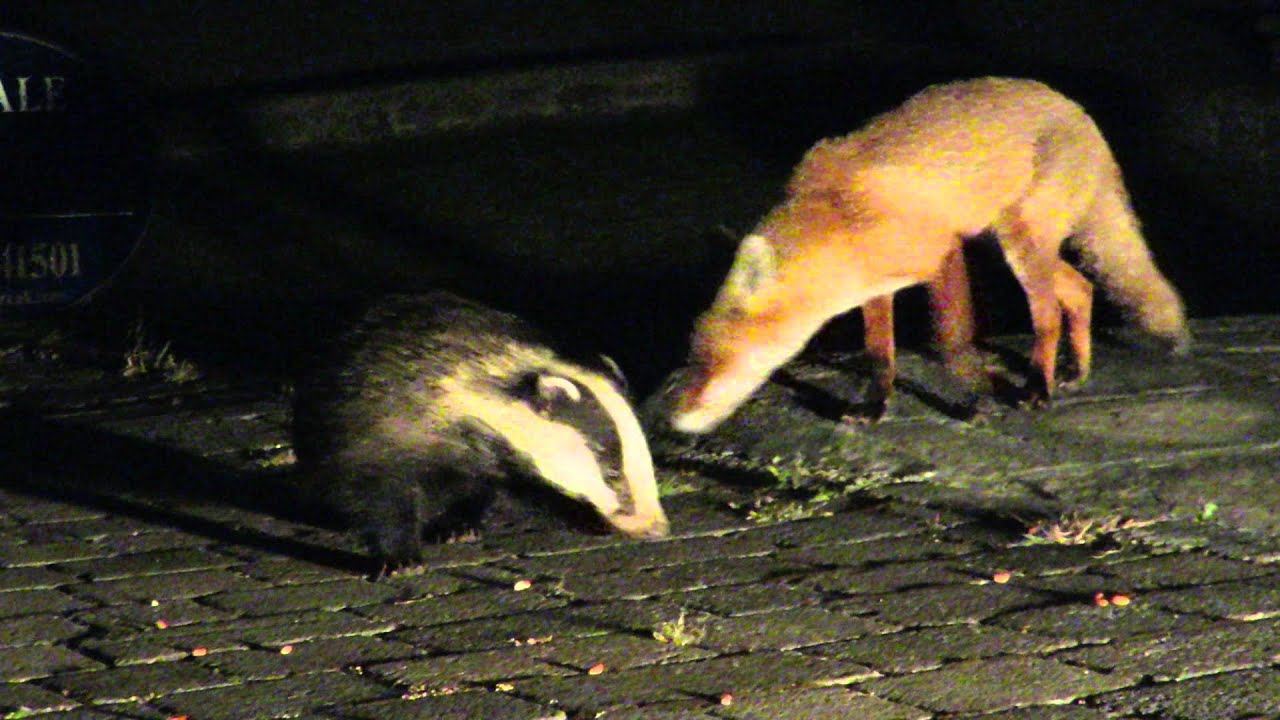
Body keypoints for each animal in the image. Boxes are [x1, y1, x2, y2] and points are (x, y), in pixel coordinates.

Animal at [667, 76, 1190, 434]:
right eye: (691, 358)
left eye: (711, 362)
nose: (673, 420)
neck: (840, 219)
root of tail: (1078, 109)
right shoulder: (875, 286)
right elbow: (880, 353)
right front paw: (875, 407)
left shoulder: (943, 254)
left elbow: (951, 341)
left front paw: (974, 400)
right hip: (1013, 244)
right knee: (1080, 288)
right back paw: (1076, 371)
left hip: (1020, 245)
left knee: (1048, 315)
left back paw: (1038, 387)